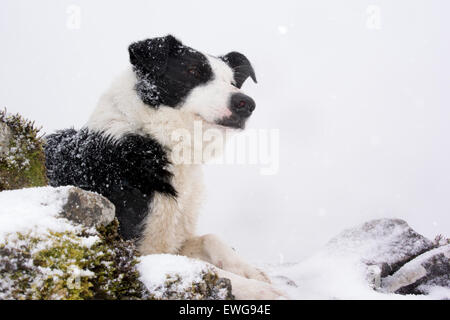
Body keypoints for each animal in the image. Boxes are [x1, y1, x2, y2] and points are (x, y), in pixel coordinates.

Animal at [45, 35, 284, 300]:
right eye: (193, 71)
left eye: (232, 82)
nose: (246, 104)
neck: (155, 141)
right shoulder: (133, 252)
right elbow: (206, 270)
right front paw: (259, 290)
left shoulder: (173, 240)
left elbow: (211, 238)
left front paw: (249, 270)